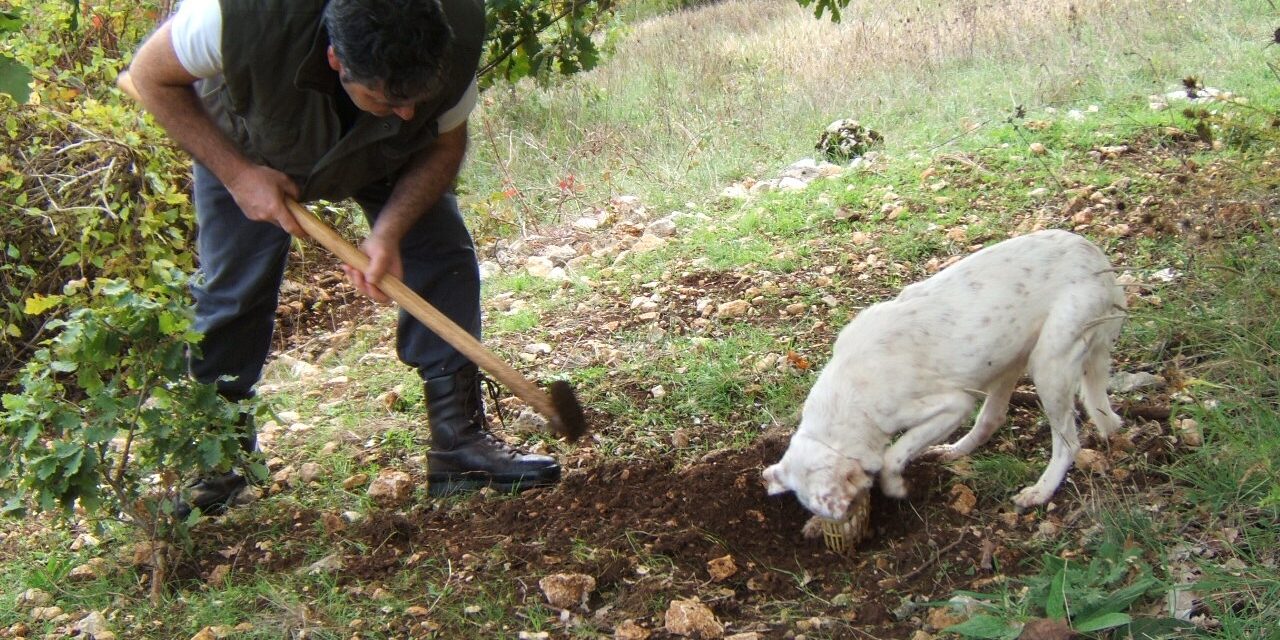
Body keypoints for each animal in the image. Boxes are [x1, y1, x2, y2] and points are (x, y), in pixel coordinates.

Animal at [762, 230, 1126, 524]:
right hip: (1011, 360)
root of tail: (1097, 257)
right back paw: (954, 451)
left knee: (1068, 443)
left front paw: (895, 485)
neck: (848, 397)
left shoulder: (952, 405)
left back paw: (1041, 490)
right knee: (992, 418)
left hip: (1050, 364)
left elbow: (894, 454)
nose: (847, 524)